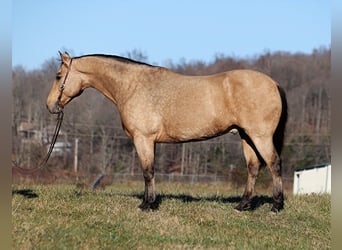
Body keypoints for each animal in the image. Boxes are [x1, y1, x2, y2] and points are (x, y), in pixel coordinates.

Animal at [46, 51, 286, 212]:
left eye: (58, 76)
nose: (50, 105)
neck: (132, 86)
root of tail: (273, 83)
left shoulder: (143, 139)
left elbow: (147, 171)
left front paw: (147, 205)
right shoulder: (149, 141)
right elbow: (150, 171)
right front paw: (149, 202)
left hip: (260, 136)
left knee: (274, 164)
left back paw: (276, 205)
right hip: (247, 137)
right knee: (253, 168)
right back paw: (243, 205)